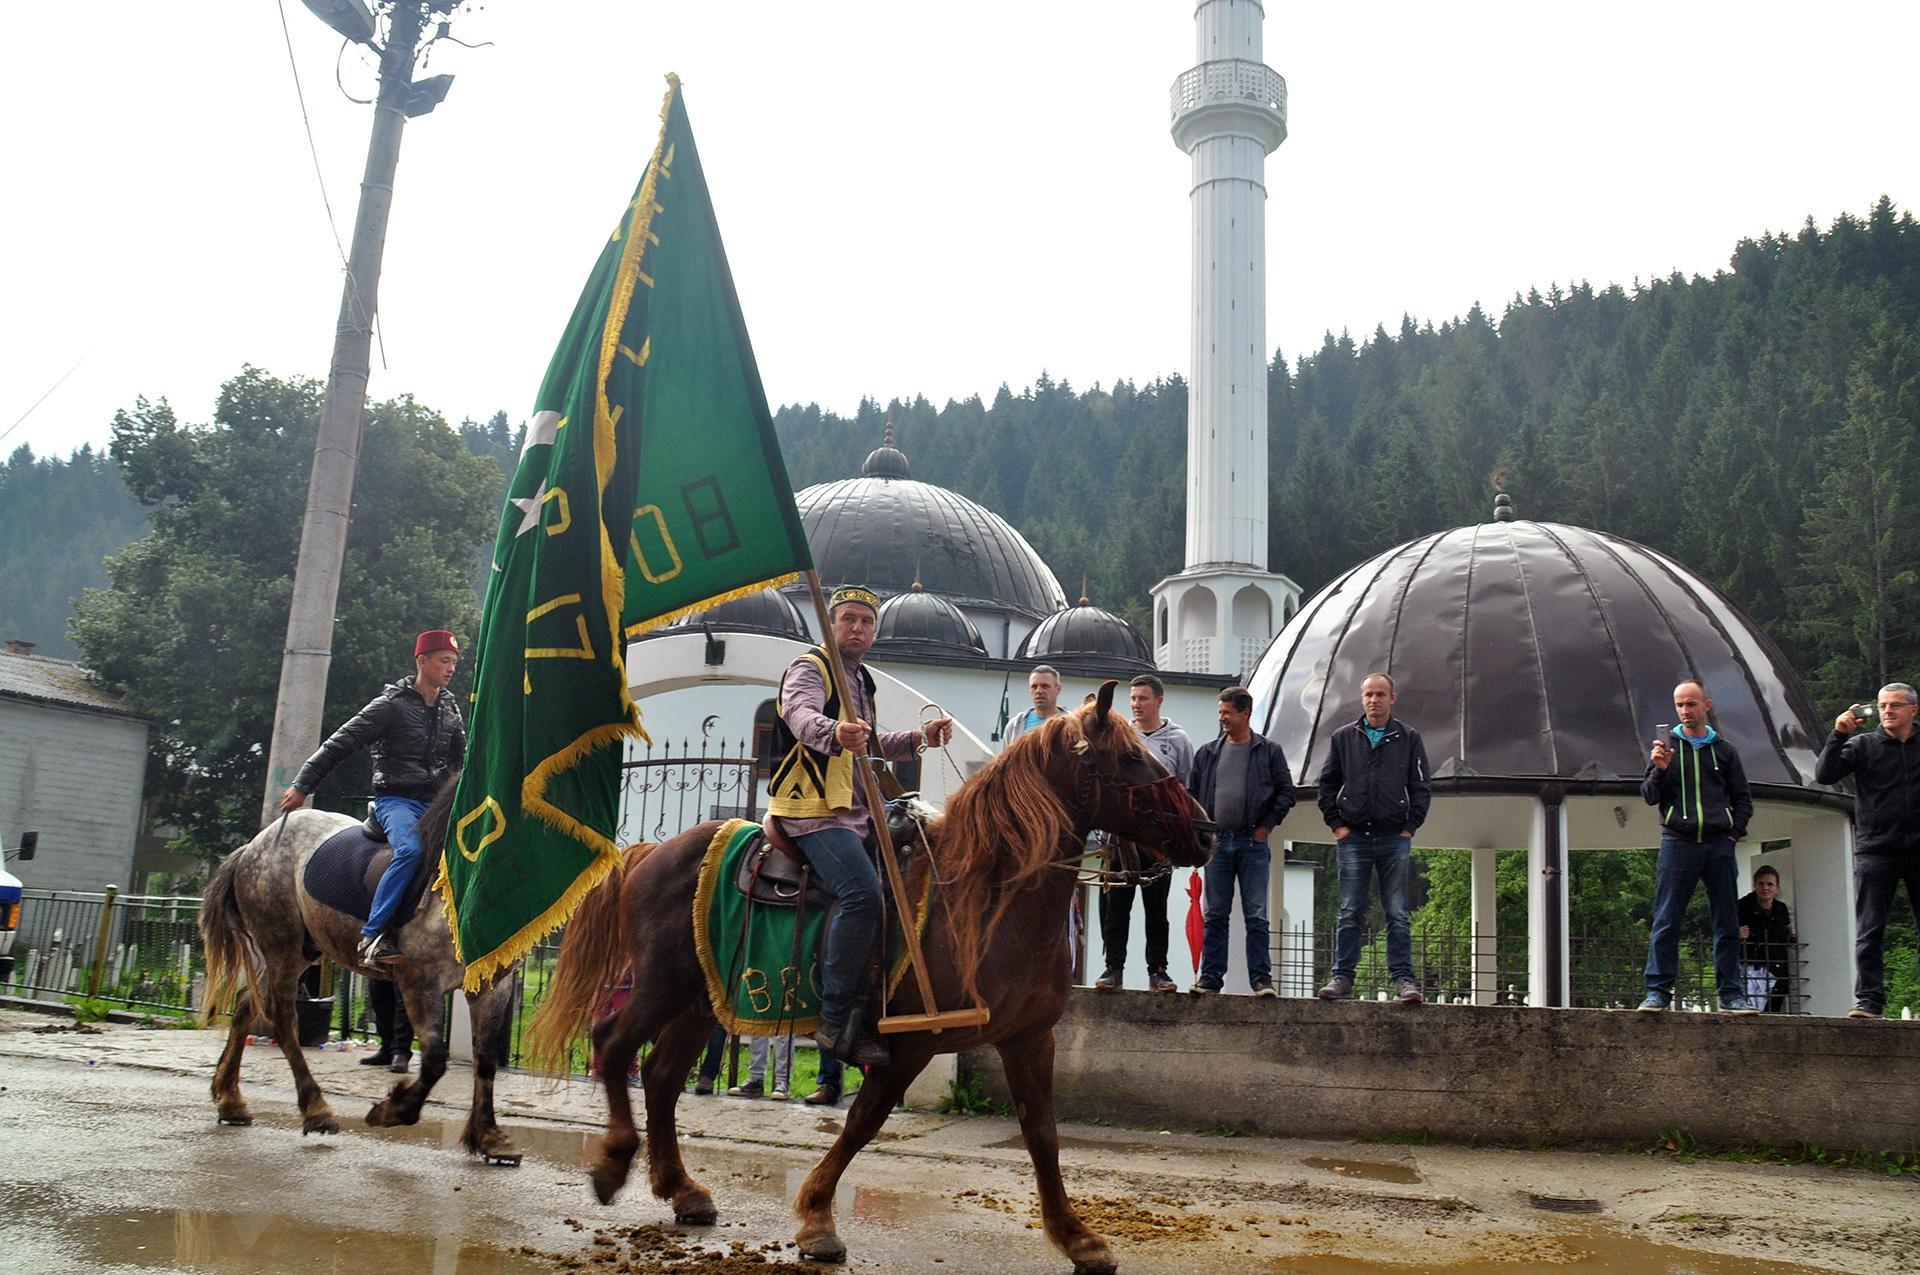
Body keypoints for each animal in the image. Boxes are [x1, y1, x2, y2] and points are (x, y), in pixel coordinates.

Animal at [198, 775, 522, 1167]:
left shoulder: (493, 986)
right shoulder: (420, 982)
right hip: (281, 946)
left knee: (247, 1006)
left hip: (301, 950)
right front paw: (394, 1109)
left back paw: (230, 1100)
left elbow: (485, 1061)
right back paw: (316, 1111)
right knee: (282, 1017)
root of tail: (253, 846)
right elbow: (434, 1060)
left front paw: (489, 1137)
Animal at [526, 683, 1205, 1267]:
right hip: (661, 984)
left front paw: (1076, 1236)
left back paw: (683, 1189)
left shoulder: (1029, 1038)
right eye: (1130, 757)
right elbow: (862, 1123)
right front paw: (816, 1218)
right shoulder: (907, 1043)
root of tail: (648, 852)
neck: (985, 899)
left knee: (662, 1077)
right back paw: (614, 1163)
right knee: (614, 1046)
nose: (1205, 829)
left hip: (700, 999)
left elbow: (1042, 1135)